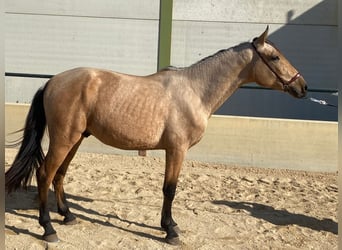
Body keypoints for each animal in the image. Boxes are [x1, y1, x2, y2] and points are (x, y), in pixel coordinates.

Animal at [4, 26, 308, 244]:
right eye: (275, 57)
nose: (303, 87)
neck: (194, 90)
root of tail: (52, 81)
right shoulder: (176, 149)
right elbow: (169, 189)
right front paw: (170, 230)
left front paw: (169, 226)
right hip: (64, 139)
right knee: (45, 174)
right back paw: (48, 228)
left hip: (75, 140)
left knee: (59, 174)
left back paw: (67, 216)